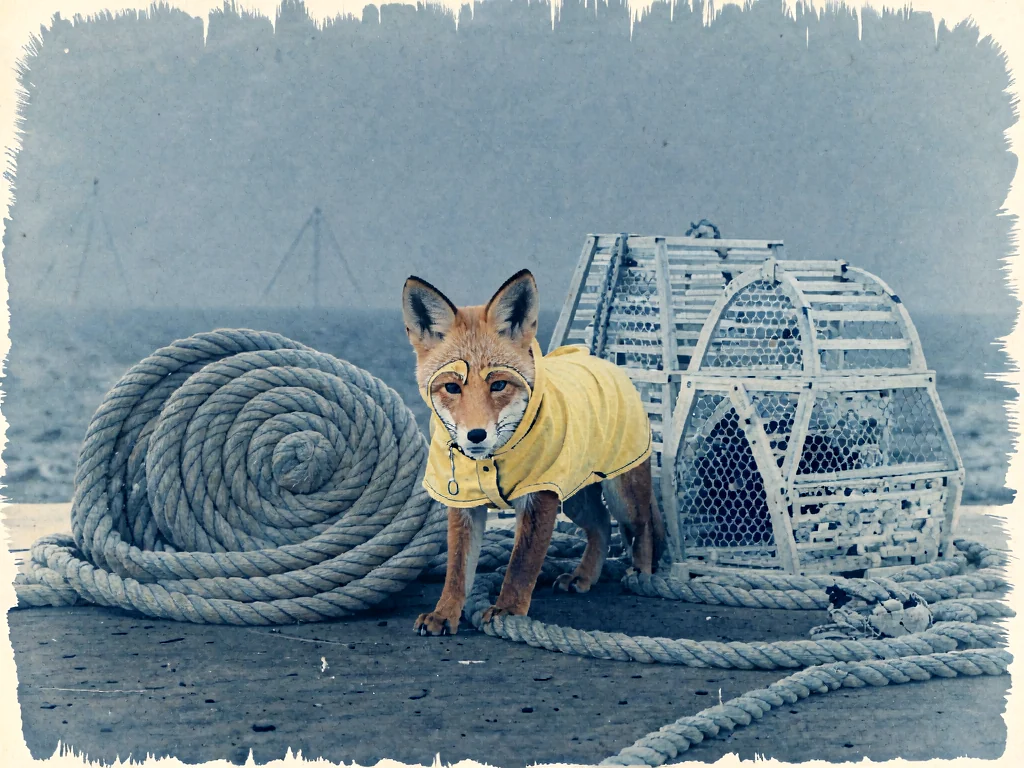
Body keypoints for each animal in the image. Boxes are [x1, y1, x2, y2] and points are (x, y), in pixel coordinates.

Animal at [402, 268, 667, 636]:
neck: (490, 461)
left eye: (498, 384)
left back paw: (641, 577)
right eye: (452, 387)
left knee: (641, 530)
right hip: (574, 496)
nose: (476, 435)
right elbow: (457, 569)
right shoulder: (463, 500)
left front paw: (509, 610)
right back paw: (584, 576)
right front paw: (444, 614)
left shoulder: (538, 496)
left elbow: (521, 564)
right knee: (600, 525)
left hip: (620, 494)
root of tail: (601, 360)